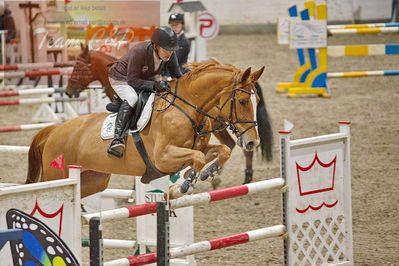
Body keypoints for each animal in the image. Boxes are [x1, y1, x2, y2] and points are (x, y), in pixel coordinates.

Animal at [27, 60, 266, 197]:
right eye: (242, 101)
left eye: (257, 101)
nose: (253, 141)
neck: (187, 108)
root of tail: (53, 131)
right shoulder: (163, 157)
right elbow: (197, 158)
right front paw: (184, 185)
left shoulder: (194, 149)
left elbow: (219, 152)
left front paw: (207, 173)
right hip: (55, 177)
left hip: (93, 180)